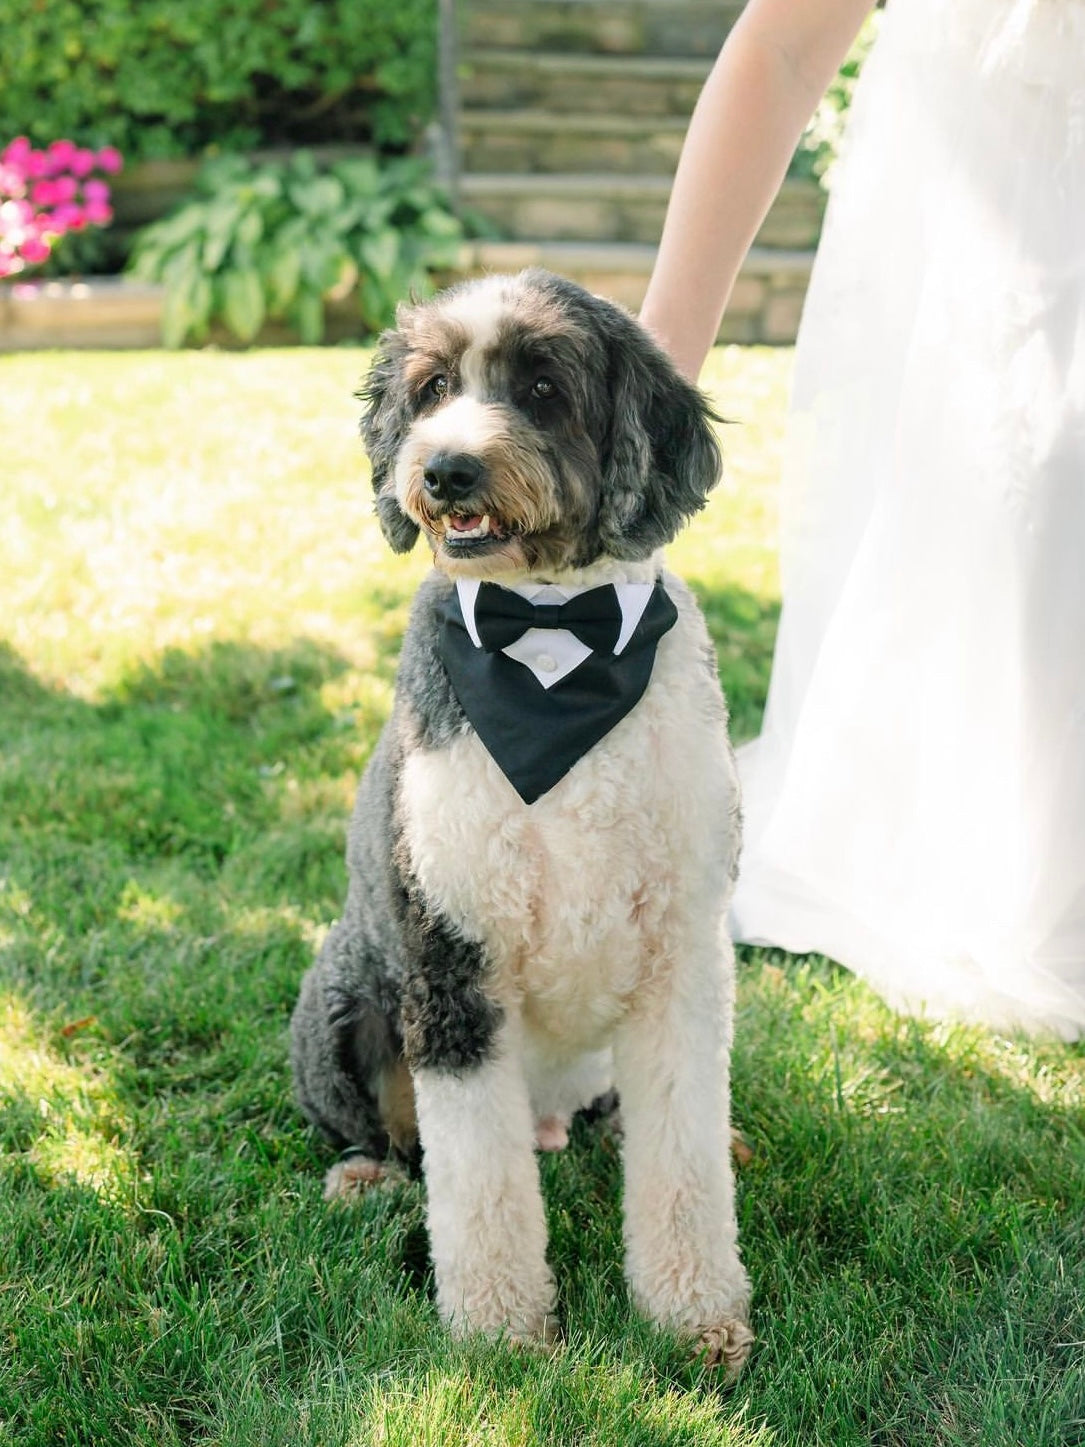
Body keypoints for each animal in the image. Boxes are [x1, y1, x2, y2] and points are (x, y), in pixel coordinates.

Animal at [293, 269, 758, 1365]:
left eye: (542, 388)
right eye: (429, 389)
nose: (445, 469)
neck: (550, 641)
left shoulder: (682, 956)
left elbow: (680, 1155)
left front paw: (694, 1312)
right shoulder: (452, 957)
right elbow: (477, 1180)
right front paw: (501, 1328)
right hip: (341, 996)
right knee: (383, 1134)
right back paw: (363, 1174)